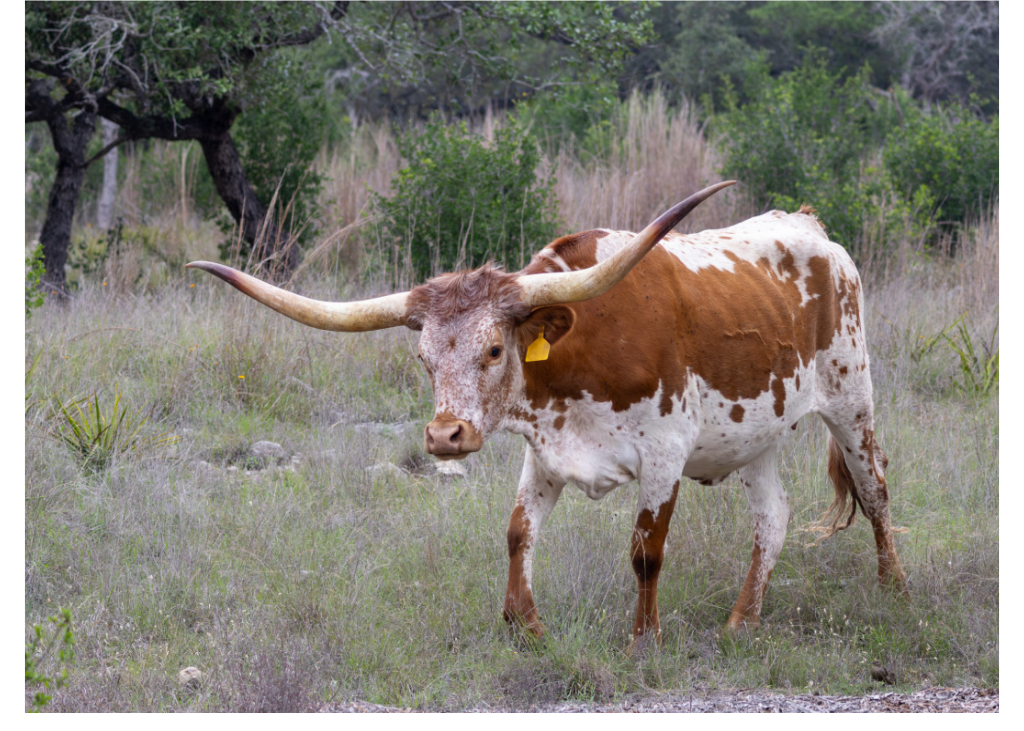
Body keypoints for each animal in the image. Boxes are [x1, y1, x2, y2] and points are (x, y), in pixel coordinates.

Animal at [186, 181, 907, 647]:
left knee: (874, 489)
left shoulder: (664, 453)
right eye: (423, 358)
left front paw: (644, 638)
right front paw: (524, 625)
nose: (445, 435)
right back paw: (741, 619)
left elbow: (646, 551)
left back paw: (893, 587)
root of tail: (813, 229)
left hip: (852, 398)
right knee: (772, 519)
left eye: (494, 348)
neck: (579, 345)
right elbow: (517, 532)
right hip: (755, 437)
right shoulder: (547, 453)